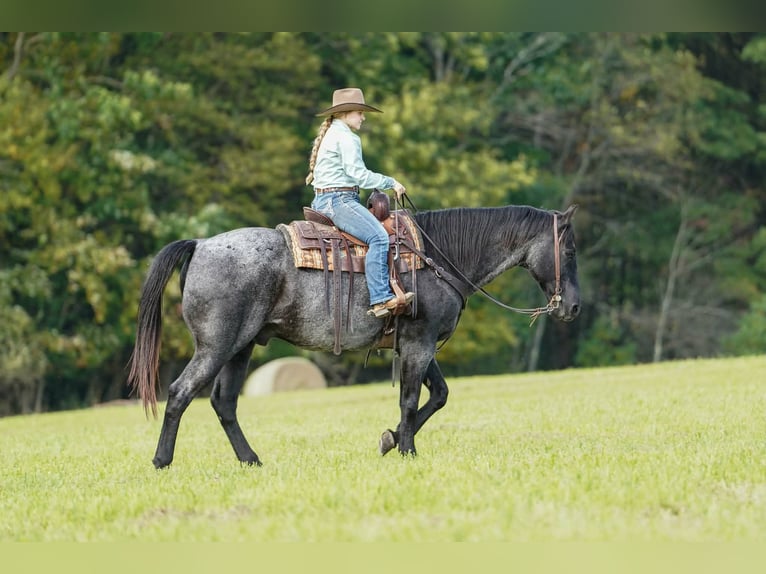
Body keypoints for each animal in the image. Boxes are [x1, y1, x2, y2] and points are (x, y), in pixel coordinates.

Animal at [127, 203, 580, 468]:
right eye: (570, 250)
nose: (574, 307)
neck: (437, 257)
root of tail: (201, 244)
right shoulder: (418, 343)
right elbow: (410, 399)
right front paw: (407, 451)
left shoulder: (417, 344)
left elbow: (438, 395)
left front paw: (391, 440)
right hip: (216, 345)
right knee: (181, 393)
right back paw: (162, 461)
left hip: (240, 348)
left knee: (224, 402)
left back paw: (251, 459)